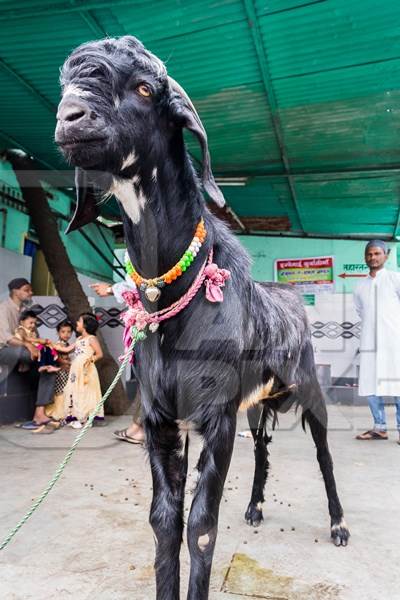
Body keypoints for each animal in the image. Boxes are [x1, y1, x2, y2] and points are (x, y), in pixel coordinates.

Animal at [54, 36, 348, 600]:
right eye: (66, 85)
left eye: (146, 88)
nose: (69, 118)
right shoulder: (162, 417)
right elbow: (164, 521)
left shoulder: (216, 415)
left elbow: (203, 527)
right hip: (256, 402)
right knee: (263, 449)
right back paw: (254, 507)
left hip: (305, 385)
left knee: (324, 451)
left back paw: (340, 524)